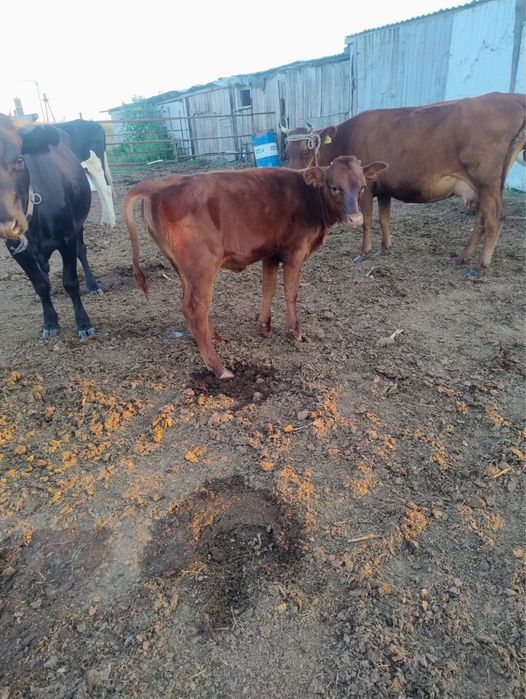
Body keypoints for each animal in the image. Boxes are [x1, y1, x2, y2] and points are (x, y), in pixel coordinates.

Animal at [0, 114, 98, 338]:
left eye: (19, 160)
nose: (7, 223)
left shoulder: (67, 239)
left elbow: (70, 282)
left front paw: (83, 323)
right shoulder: (16, 250)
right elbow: (41, 285)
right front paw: (50, 322)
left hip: (79, 223)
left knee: (82, 250)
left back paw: (93, 285)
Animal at [123, 157, 387, 379]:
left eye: (362, 187)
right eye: (335, 187)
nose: (356, 218)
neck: (309, 197)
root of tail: (159, 184)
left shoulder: (270, 254)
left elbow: (268, 288)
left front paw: (265, 326)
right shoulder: (295, 252)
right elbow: (290, 292)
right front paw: (295, 332)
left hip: (184, 270)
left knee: (191, 307)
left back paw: (213, 337)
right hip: (202, 268)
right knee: (195, 309)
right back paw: (218, 367)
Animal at [283, 92, 526, 278]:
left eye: (306, 151)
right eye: (286, 152)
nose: (296, 177)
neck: (346, 137)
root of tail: (511, 97)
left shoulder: (366, 187)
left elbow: (367, 221)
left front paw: (364, 253)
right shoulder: (384, 188)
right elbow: (384, 219)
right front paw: (385, 249)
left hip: (487, 180)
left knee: (495, 218)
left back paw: (479, 267)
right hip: (483, 187)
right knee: (481, 221)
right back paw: (461, 258)